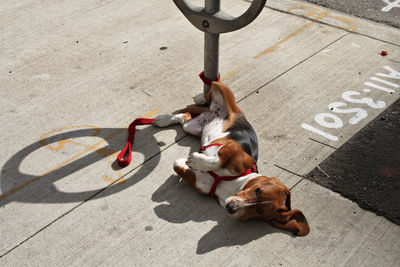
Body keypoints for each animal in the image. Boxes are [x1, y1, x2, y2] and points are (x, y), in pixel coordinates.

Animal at [153, 82, 310, 237]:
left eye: (259, 211)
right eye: (258, 190)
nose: (231, 207)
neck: (233, 184)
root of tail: (211, 112)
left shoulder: (201, 185)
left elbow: (178, 165)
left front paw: (189, 163)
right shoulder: (234, 147)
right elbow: (216, 160)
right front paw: (197, 161)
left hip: (191, 127)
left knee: (184, 116)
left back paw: (163, 120)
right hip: (222, 91)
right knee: (210, 90)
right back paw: (198, 99)